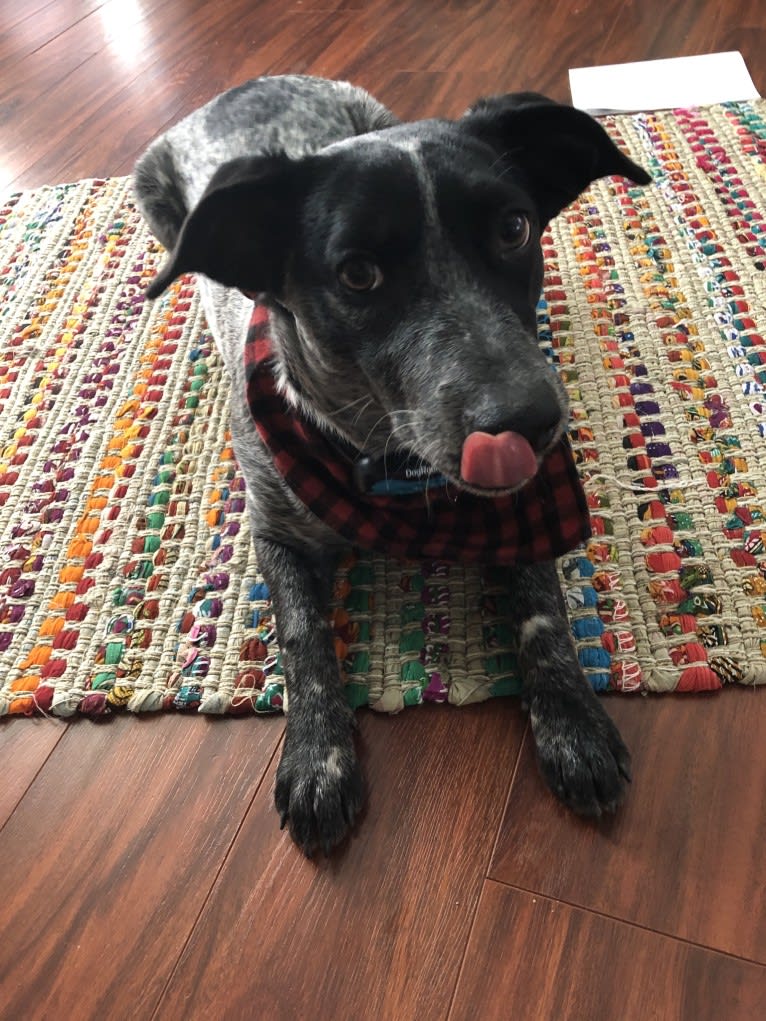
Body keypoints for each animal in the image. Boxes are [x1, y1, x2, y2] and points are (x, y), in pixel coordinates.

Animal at [134, 75, 649, 853]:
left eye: (514, 229)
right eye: (357, 274)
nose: (532, 419)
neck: (396, 475)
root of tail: (245, 88)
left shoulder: (529, 509)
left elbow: (544, 613)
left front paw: (572, 722)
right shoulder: (275, 532)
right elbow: (302, 637)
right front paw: (317, 757)